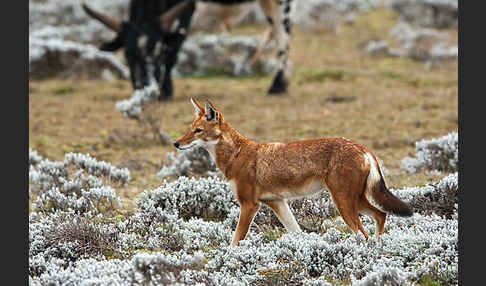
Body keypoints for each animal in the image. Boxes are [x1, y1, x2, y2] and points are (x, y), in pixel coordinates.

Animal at [83, 0, 294, 99]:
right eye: (127, 55)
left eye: (158, 52)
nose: (145, 87)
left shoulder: (186, 12)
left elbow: (173, 52)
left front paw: (166, 91)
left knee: (283, 35)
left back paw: (278, 84)